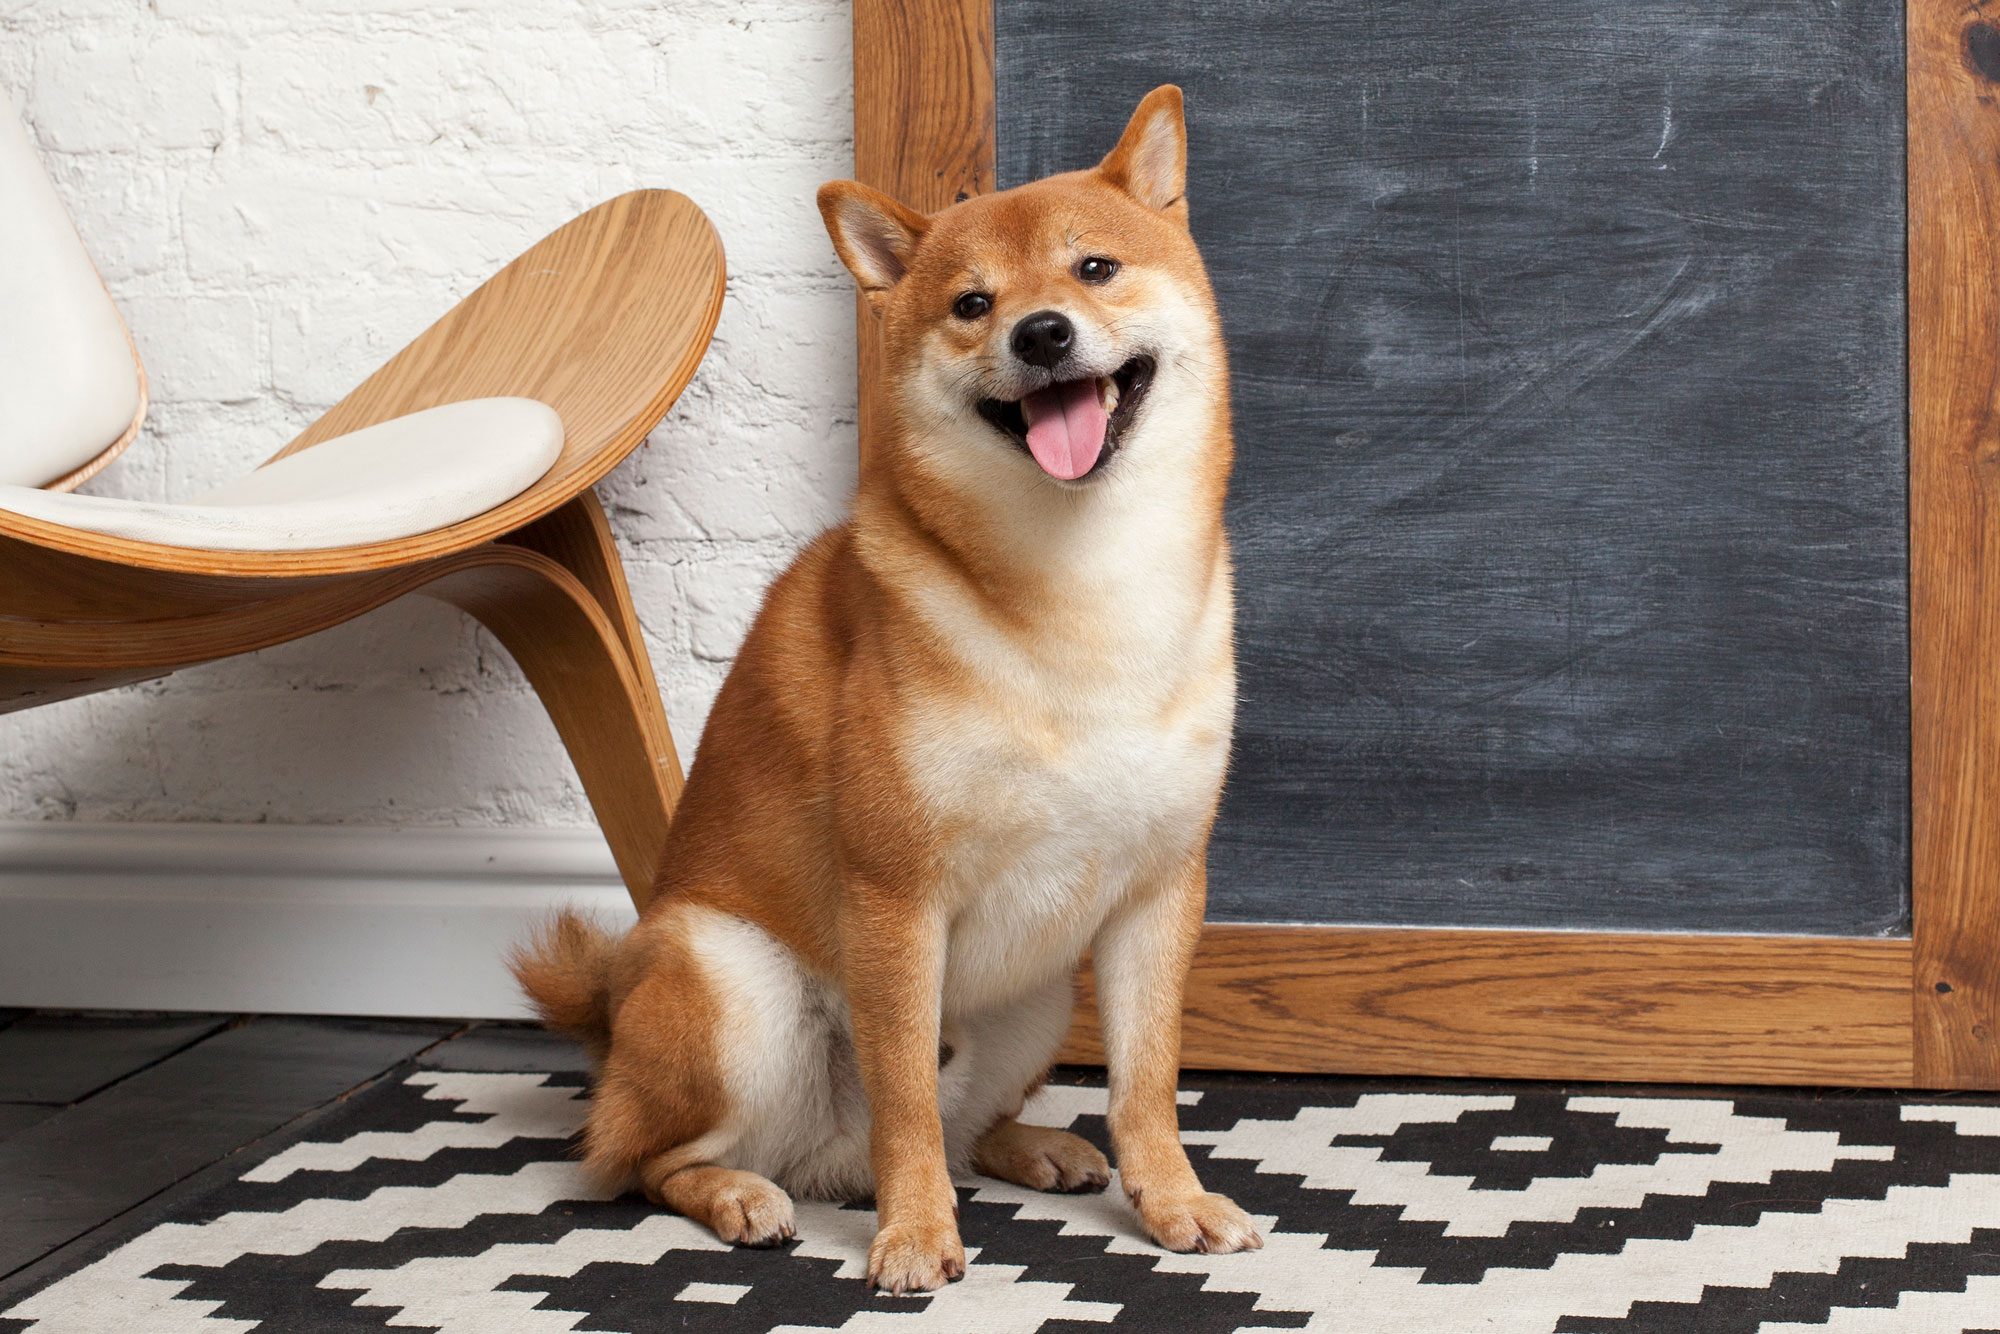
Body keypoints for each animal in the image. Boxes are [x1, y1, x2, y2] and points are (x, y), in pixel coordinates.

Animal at [516, 83, 1248, 1296]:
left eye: (1093, 268)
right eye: (971, 303)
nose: (1040, 332)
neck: (1083, 593)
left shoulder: (1158, 892)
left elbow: (1144, 1083)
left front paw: (1175, 1201)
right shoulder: (895, 898)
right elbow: (904, 1097)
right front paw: (913, 1234)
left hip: (1037, 998)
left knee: (966, 1122)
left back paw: (1030, 1144)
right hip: (731, 984)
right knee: (639, 1158)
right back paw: (740, 1193)